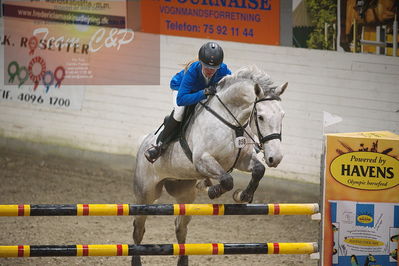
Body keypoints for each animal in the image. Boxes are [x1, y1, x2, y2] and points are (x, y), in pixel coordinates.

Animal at [134, 65, 288, 264]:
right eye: (260, 117)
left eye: (282, 116)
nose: (275, 158)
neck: (231, 121)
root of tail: (144, 143)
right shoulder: (202, 160)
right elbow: (227, 179)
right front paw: (213, 190)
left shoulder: (242, 160)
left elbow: (258, 170)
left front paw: (242, 195)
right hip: (146, 194)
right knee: (138, 229)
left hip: (185, 194)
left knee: (180, 227)